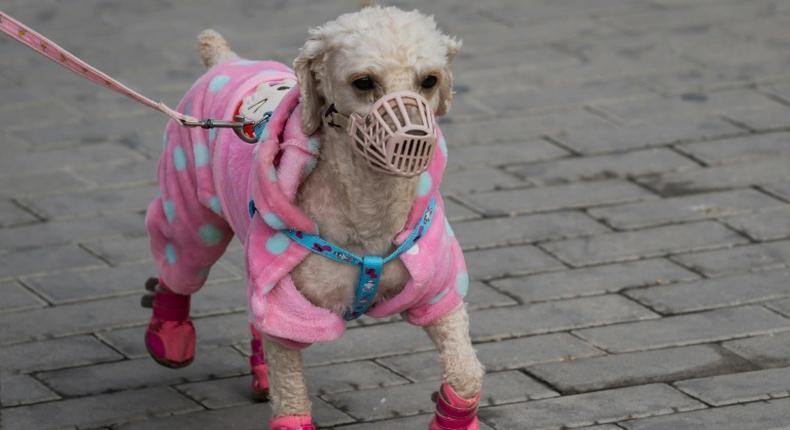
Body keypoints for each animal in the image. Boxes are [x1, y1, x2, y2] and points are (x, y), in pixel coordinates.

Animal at [145, 6, 486, 430]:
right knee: (182, 256)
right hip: (191, 200)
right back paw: (169, 335)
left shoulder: (436, 288)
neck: (367, 218)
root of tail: (226, 60)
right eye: (363, 82)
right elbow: (291, 389)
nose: (415, 138)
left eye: (429, 80)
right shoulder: (286, 304)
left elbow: (466, 374)